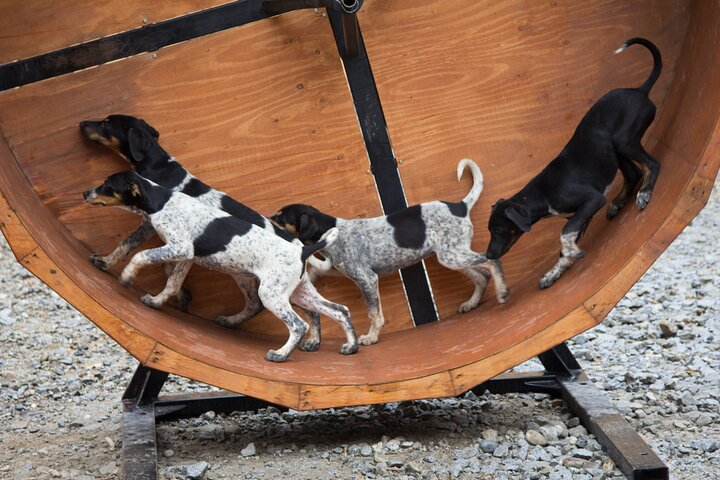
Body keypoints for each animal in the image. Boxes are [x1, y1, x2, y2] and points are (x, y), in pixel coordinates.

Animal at [81, 114, 298, 320]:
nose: (82, 123)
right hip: (239, 271)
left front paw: (108, 263)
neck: (159, 169)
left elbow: (129, 245)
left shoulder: (152, 227)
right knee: (255, 303)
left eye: (107, 123)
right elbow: (166, 267)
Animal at [83, 171, 358, 362]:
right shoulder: (185, 257)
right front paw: (158, 300)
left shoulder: (181, 248)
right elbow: (171, 281)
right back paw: (351, 346)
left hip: (272, 294)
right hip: (297, 292)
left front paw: (128, 275)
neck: (162, 200)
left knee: (298, 324)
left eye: (107, 185)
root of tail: (302, 249)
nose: (85, 194)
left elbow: (141, 255)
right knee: (339, 310)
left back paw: (280, 354)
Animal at [484, 38, 664, 288]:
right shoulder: (581, 215)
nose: (488, 255)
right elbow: (565, 245)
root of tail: (640, 90)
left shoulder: (592, 201)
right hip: (614, 150)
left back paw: (644, 194)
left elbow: (564, 233)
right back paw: (618, 203)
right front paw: (554, 272)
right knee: (633, 174)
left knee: (652, 164)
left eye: (498, 229)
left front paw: (569, 257)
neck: (542, 194)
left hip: (624, 140)